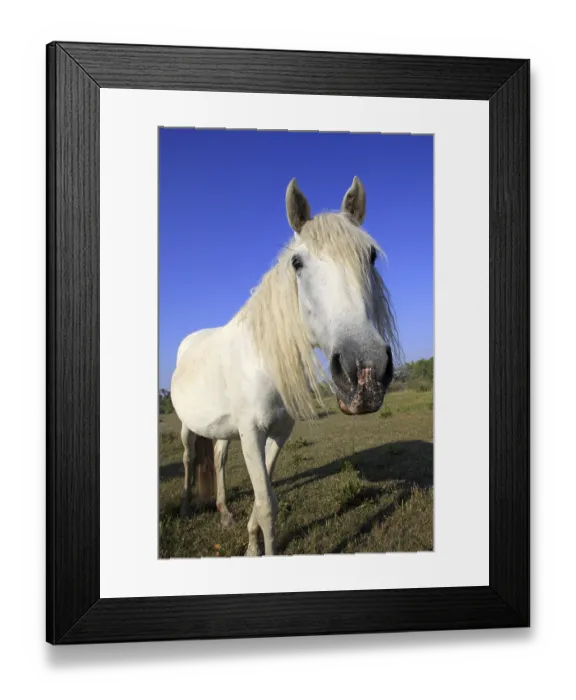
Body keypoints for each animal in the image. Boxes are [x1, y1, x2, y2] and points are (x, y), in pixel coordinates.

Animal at [170, 176, 400, 556]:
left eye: (370, 256)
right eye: (297, 263)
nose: (365, 373)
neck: (265, 364)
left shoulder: (278, 434)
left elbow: (265, 501)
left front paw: (250, 543)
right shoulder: (251, 433)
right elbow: (265, 505)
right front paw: (258, 550)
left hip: (223, 429)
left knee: (217, 459)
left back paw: (224, 513)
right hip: (189, 425)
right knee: (189, 459)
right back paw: (188, 506)